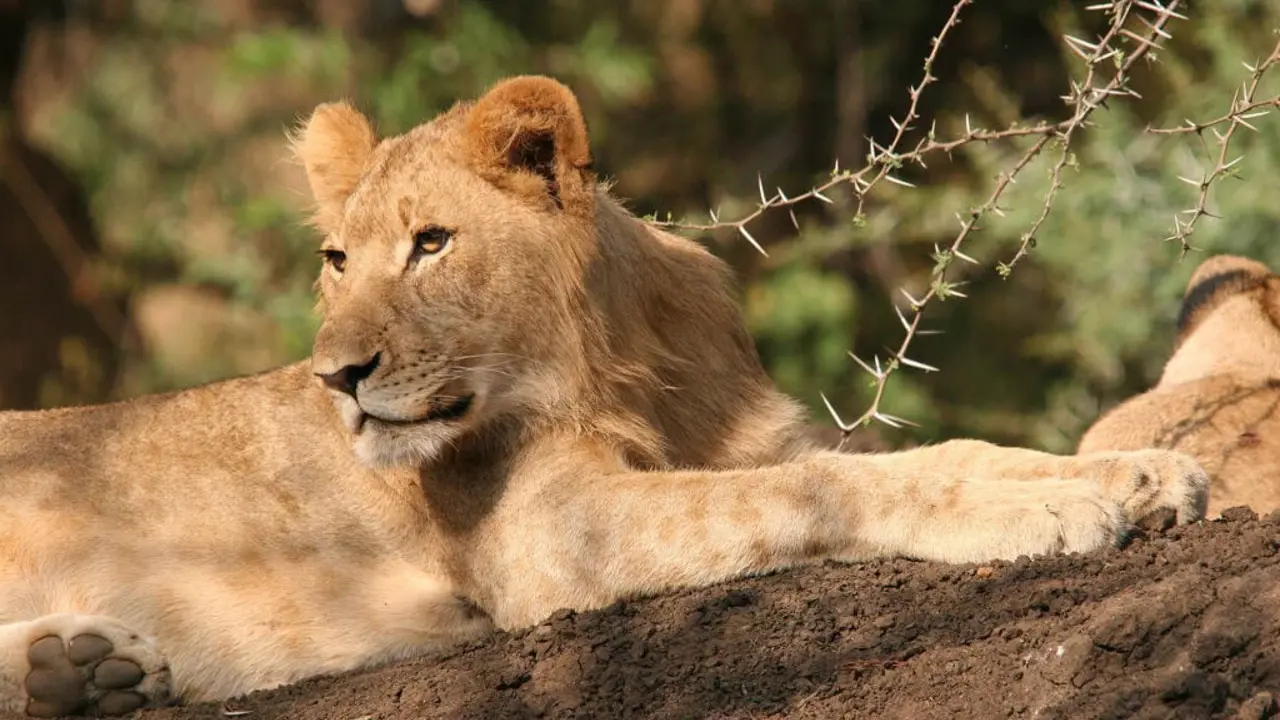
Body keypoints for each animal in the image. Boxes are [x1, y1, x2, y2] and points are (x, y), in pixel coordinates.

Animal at [0, 76, 1209, 718]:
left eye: (431, 244)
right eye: (338, 259)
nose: (334, 378)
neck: (632, 365)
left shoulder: (751, 441)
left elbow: (940, 451)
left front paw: (1138, 472)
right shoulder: (549, 535)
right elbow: (825, 492)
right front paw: (1049, 507)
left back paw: (88, 671)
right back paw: (81, 669)